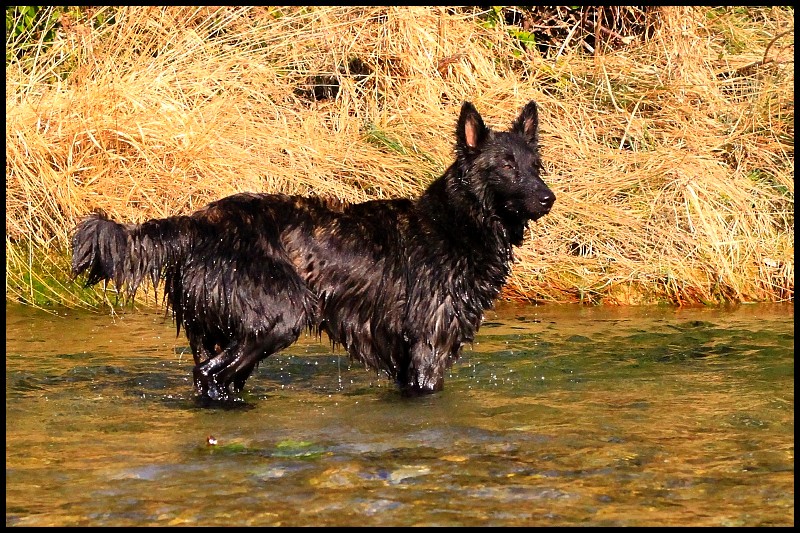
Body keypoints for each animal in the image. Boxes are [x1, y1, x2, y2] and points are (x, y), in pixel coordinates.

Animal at [70, 101, 556, 400]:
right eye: (506, 167)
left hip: (215, 329)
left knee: (214, 377)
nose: (548, 198)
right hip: (280, 315)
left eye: (536, 166)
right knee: (211, 375)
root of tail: (198, 222)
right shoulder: (426, 349)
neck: (457, 223)